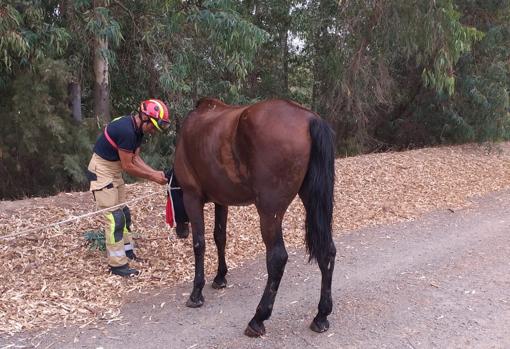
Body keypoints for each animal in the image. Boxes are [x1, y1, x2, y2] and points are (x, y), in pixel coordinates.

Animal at [173, 96, 336, 336]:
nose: (180, 230)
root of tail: (309, 119)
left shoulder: (192, 197)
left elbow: (199, 244)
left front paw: (196, 292)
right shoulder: (221, 201)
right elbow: (220, 237)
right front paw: (220, 277)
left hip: (269, 213)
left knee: (277, 258)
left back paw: (258, 318)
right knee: (327, 251)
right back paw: (321, 315)